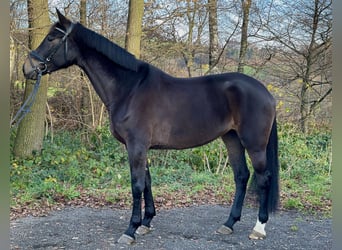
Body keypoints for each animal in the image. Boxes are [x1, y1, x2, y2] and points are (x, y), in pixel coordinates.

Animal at [22, 9, 280, 244]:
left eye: (52, 38)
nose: (27, 68)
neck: (129, 89)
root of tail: (265, 92)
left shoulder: (136, 146)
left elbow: (136, 185)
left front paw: (130, 230)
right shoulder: (138, 147)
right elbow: (146, 182)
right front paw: (146, 222)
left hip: (254, 144)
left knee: (263, 178)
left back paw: (258, 228)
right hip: (231, 138)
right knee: (241, 176)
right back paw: (228, 223)